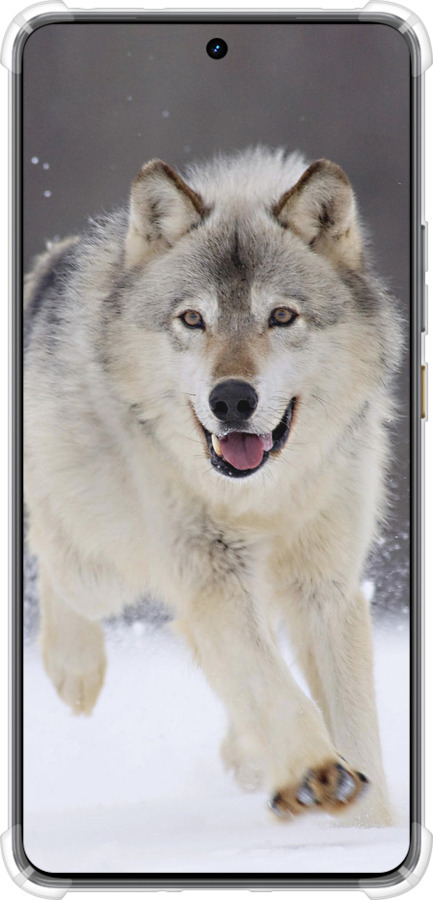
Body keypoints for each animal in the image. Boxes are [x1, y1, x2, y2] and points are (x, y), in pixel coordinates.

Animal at [24, 147, 401, 826]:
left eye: (281, 316)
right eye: (193, 319)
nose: (231, 399)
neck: (262, 497)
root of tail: (53, 261)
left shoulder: (325, 586)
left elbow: (354, 721)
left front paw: (369, 827)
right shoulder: (211, 574)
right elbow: (273, 687)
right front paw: (316, 773)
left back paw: (248, 758)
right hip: (104, 565)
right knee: (52, 554)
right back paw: (75, 670)